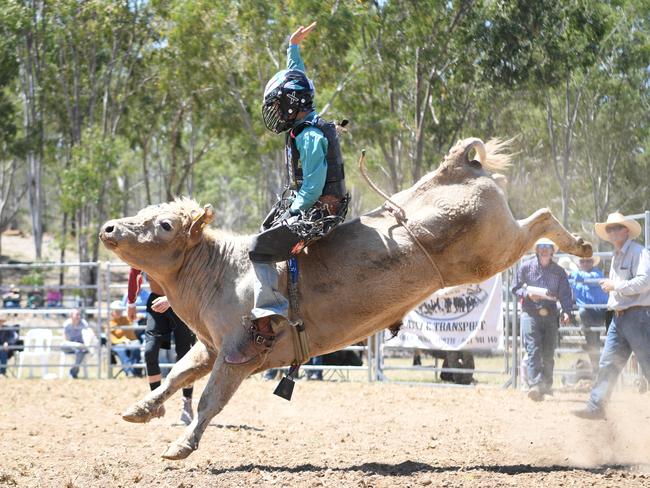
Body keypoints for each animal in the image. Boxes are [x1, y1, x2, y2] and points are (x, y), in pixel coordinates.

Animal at [98, 138, 588, 462]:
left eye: (164, 225)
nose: (108, 228)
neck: (223, 269)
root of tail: (453, 169)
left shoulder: (240, 353)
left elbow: (209, 400)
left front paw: (181, 445)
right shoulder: (210, 347)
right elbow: (176, 374)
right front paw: (140, 409)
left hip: (492, 251)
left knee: (541, 218)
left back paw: (581, 244)